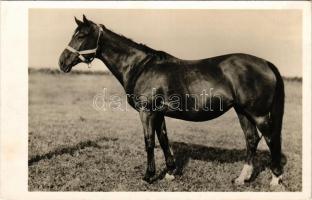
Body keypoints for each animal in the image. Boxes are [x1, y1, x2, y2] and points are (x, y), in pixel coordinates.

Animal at [58, 15, 286, 188]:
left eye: (81, 35)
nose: (62, 62)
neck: (141, 66)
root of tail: (266, 63)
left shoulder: (147, 112)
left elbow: (149, 141)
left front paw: (149, 176)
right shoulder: (159, 113)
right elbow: (164, 139)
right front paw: (170, 172)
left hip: (258, 114)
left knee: (270, 139)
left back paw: (275, 179)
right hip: (242, 112)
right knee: (251, 139)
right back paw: (241, 178)